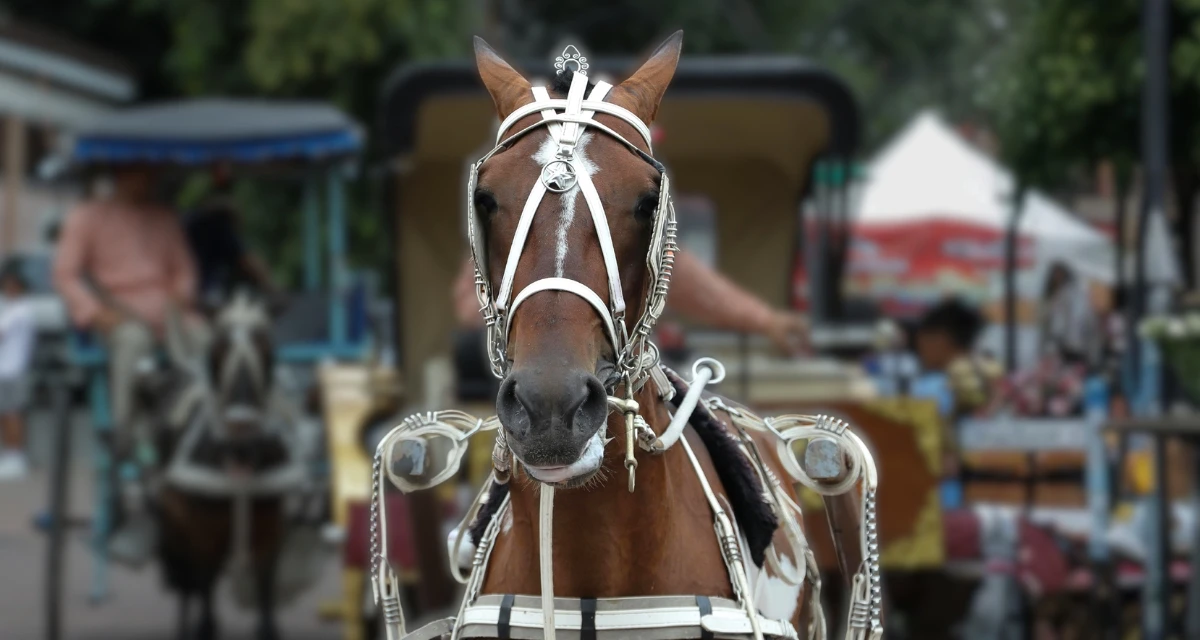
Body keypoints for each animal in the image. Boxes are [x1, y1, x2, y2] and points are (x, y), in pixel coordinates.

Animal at [142, 294, 300, 640]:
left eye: (269, 350)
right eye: (216, 351)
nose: (241, 426)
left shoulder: (270, 532)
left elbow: (265, 601)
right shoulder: (201, 535)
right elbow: (204, 596)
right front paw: (201, 625)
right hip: (177, 528)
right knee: (188, 585)